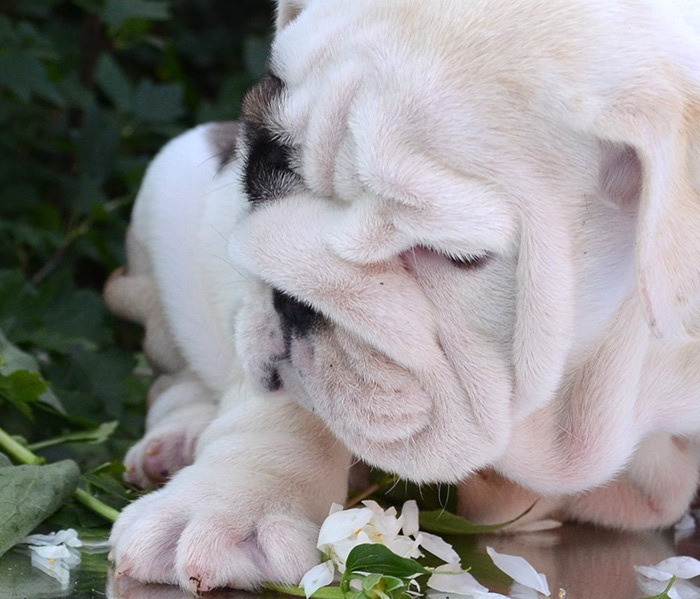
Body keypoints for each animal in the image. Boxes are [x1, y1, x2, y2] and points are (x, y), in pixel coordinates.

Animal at [106, 0, 700, 592]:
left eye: (454, 254)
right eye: (262, 162)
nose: (290, 299)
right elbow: (286, 409)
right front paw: (233, 503)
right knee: (171, 372)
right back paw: (176, 439)